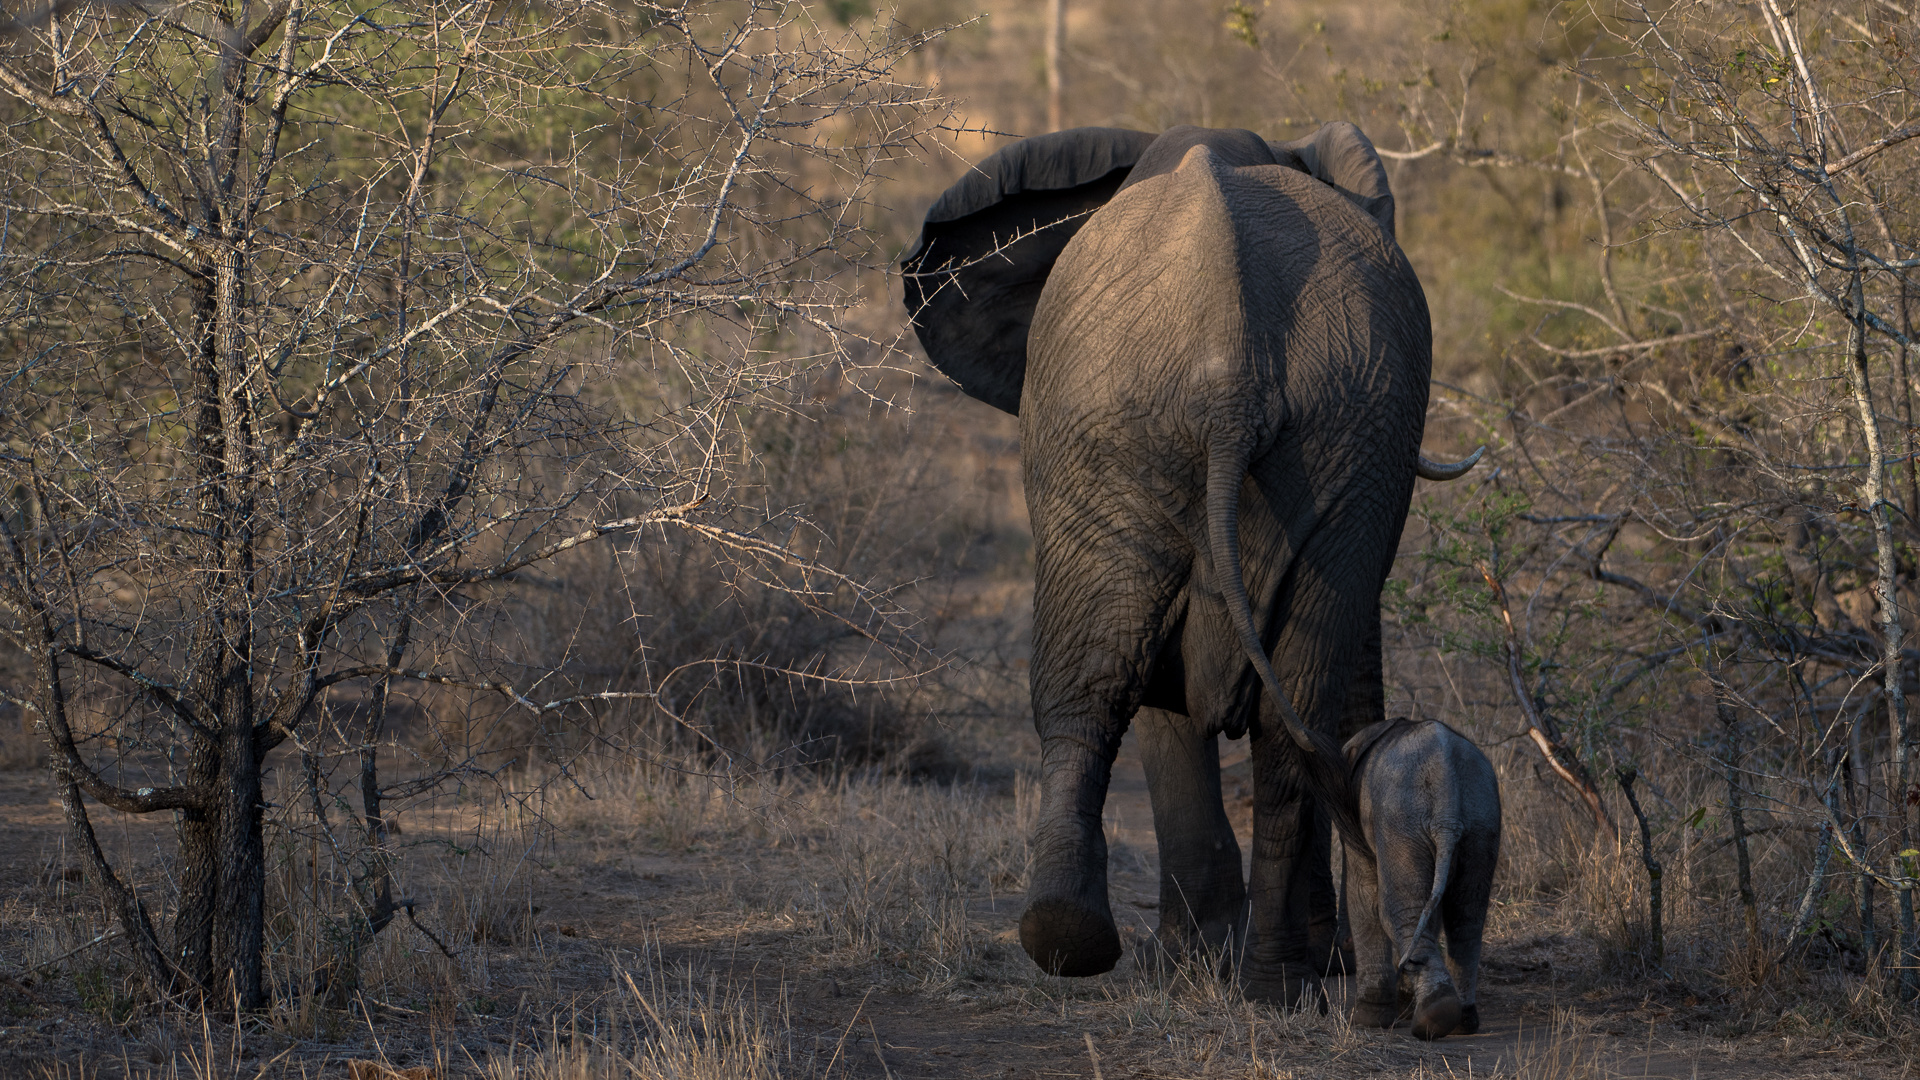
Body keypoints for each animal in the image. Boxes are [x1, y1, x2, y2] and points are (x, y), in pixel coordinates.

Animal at [906, 123, 1474, 999]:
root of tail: (1231, 374)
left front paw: (1199, 961)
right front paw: (1223, 962)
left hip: (1235, 432)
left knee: (1104, 688)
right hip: (1278, 430)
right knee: (1248, 703)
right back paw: (1254, 976)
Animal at [1344, 714, 1489, 1037]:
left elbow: (1363, 893)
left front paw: (1366, 1021)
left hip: (1401, 821)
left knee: (1399, 909)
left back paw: (1433, 1017)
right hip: (1480, 820)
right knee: (1467, 915)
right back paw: (1460, 1022)